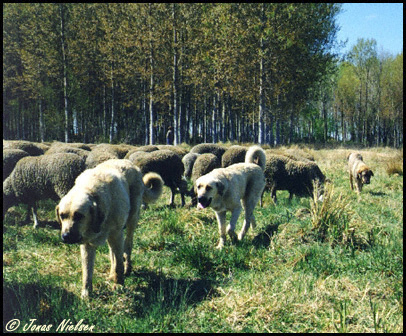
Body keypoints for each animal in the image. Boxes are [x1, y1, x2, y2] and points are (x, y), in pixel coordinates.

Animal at [56, 159, 163, 298]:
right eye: (62, 216)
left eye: (79, 216)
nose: (66, 237)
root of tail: (129, 162)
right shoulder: (86, 244)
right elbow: (87, 271)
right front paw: (86, 292)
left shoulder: (117, 235)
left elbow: (119, 265)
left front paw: (119, 285)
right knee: (113, 253)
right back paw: (112, 274)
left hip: (131, 221)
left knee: (128, 246)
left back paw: (127, 268)